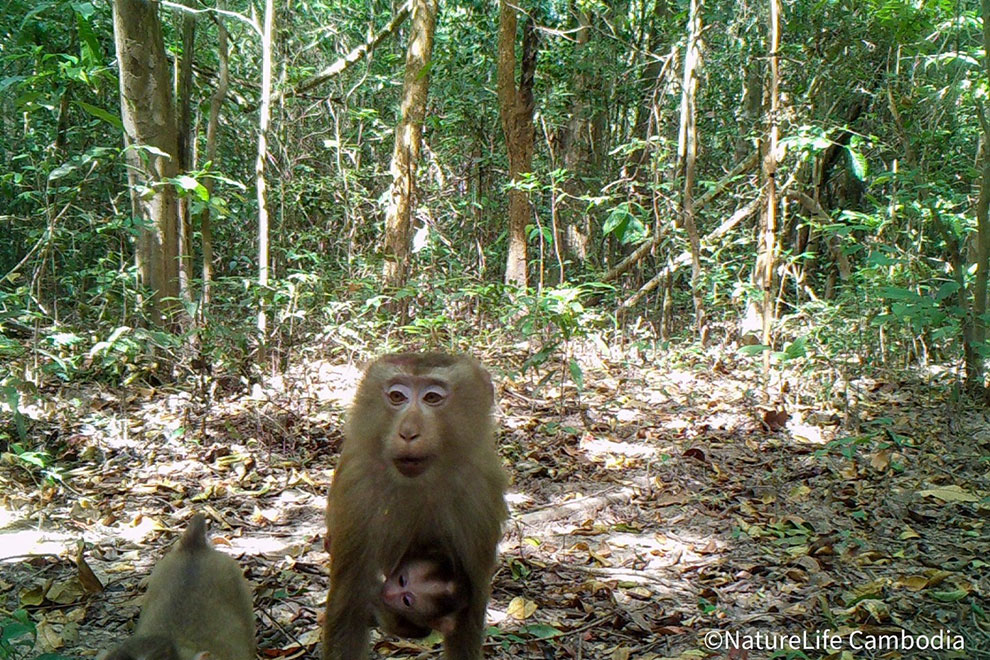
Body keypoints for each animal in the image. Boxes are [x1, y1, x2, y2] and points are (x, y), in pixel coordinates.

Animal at [323, 353, 508, 660]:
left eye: (432, 398)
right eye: (397, 396)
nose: (408, 432)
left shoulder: (481, 491)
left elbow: (467, 617)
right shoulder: (356, 487)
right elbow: (348, 608)